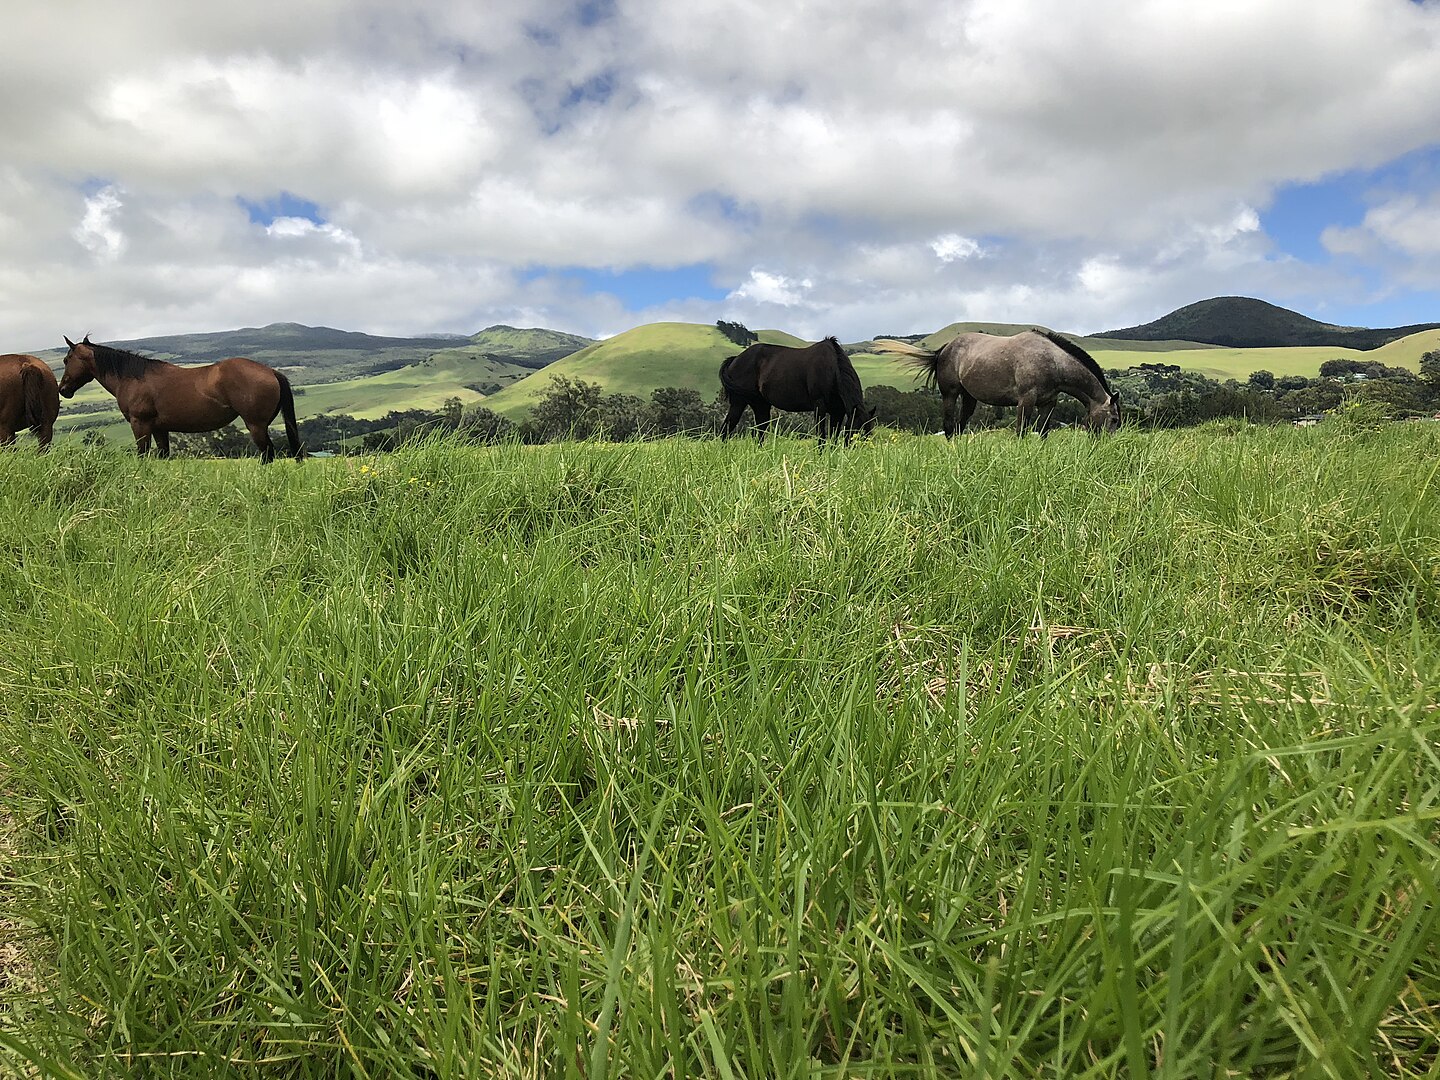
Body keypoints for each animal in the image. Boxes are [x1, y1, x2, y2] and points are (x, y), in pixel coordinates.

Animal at [58, 335, 303, 462]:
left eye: (66, 359)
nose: (63, 389)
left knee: (267, 454)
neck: (134, 377)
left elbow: (143, 455)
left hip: (256, 425)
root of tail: (272, 372)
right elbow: (162, 456)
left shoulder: (140, 425)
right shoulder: (159, 429)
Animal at [719, 336, 876, 445]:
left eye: (868, 433)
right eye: (854, 431)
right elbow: (821, 436)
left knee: (759, 433)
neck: (832, 370)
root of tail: (735, 359)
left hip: (761, 405)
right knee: (725, 430)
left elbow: (833, 437)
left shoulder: (838, 411)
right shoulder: (820, 406)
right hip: (739, 403)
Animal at [875, 329, 1120, 437]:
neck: (1052, 361)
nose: (1104, 444)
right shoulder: (1026, 401)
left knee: (960, 426)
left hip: (969, 398)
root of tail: (943, 350)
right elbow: (1021, 431)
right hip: (950, 394)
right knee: (949, 426)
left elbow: (1043, 432)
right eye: (1115, 419)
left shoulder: (1048, 403)